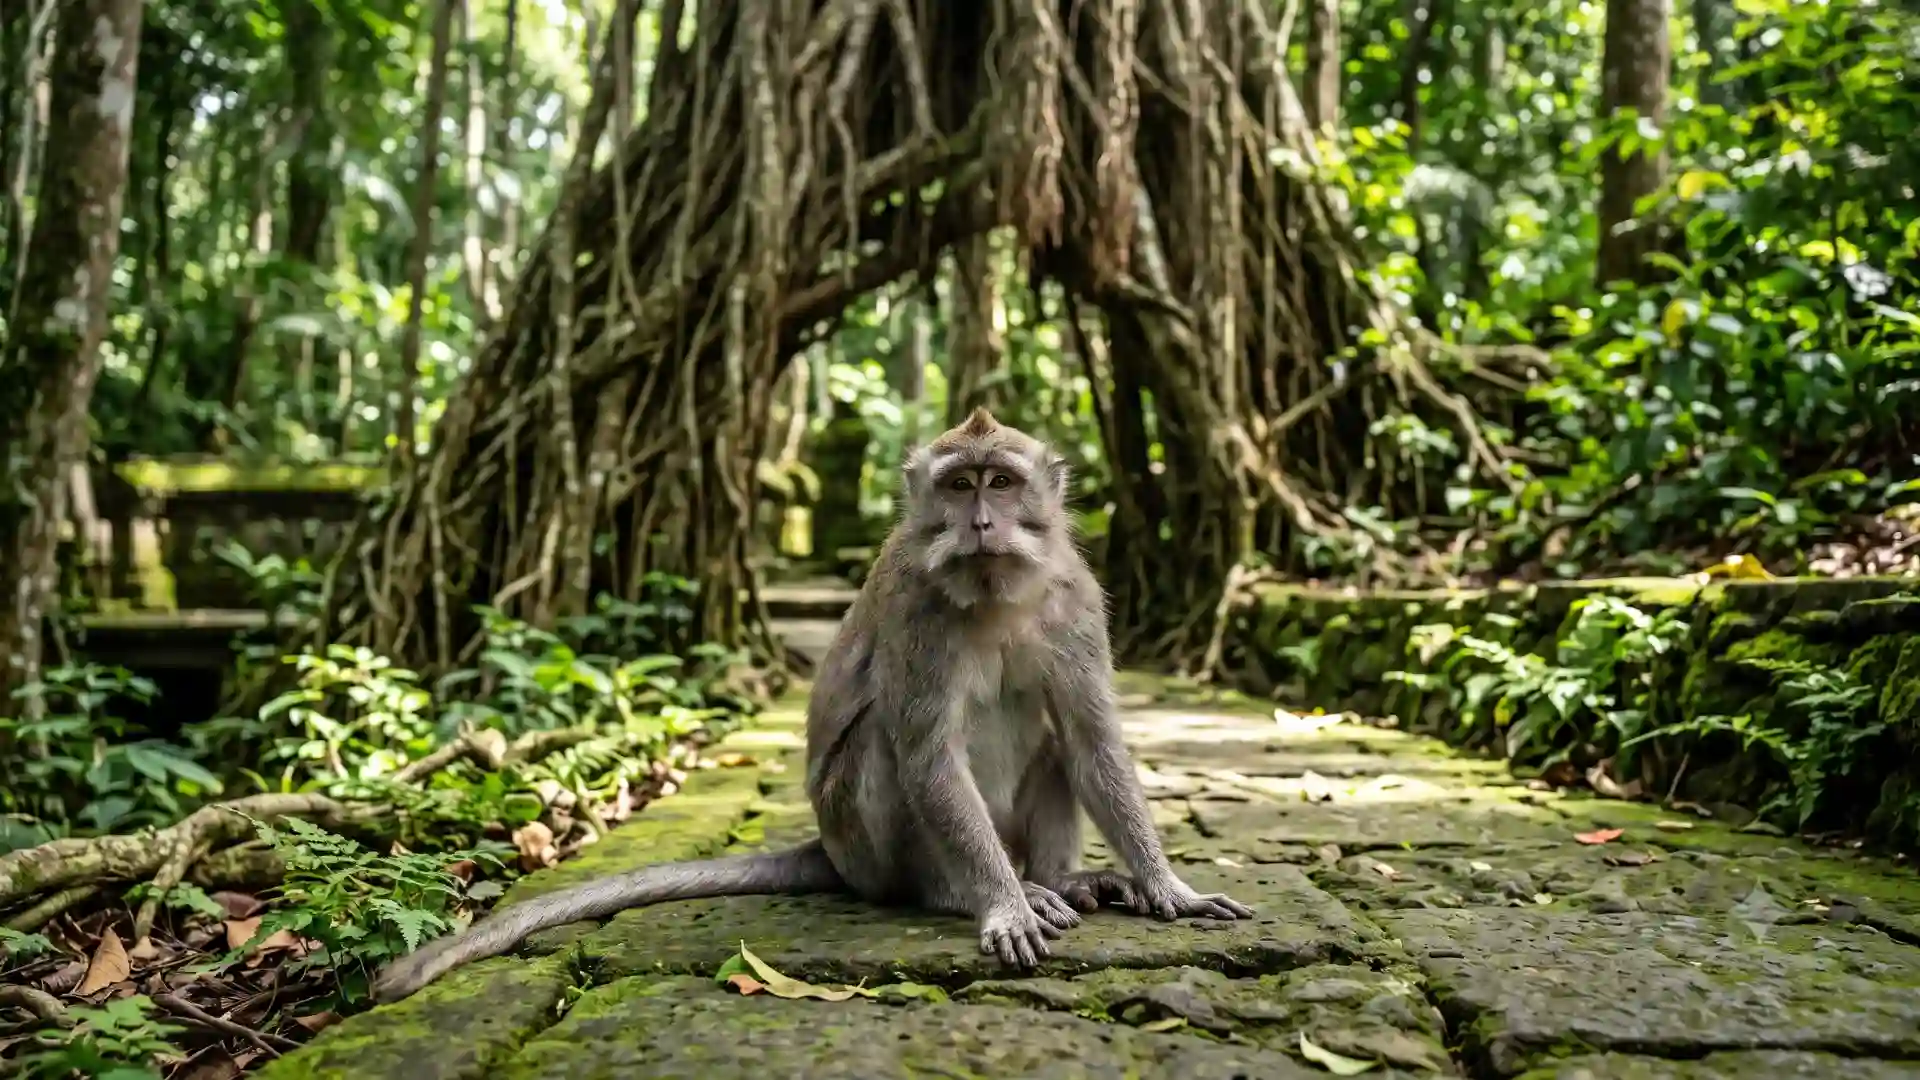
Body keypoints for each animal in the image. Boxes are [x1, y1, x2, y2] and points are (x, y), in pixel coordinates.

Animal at [369, 407, 1252, 1003]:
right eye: (958, 484)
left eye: (1001, 481)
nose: (980, 521)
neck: (995, 594)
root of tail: (830, 850)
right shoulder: (914, 609)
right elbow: (926, 753)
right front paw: (1000, 904)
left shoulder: (1074, 602)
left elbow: (1092, 738)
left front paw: (1167, 887)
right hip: (866, 847)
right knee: (883, 746)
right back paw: (968, 889)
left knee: (1051, 731)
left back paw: (1059, 878)